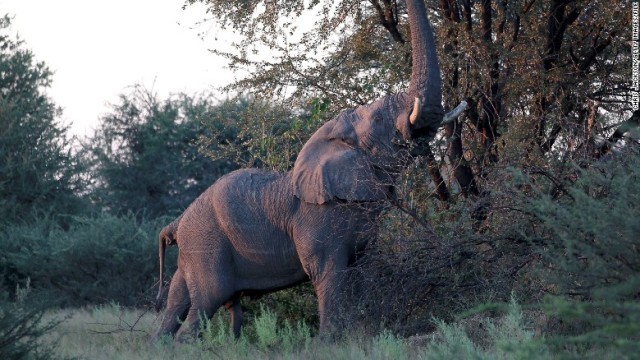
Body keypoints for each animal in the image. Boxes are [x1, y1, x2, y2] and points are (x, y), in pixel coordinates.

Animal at [153, 0, 468, 342]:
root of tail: (178, 221)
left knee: (177, 301)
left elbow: (363, 268)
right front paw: (330, 342)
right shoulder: (316, 216)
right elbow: (327, 270)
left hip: (195, 246)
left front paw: (359, 335)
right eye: (379, 120)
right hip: (206, 243)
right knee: (207, 301)